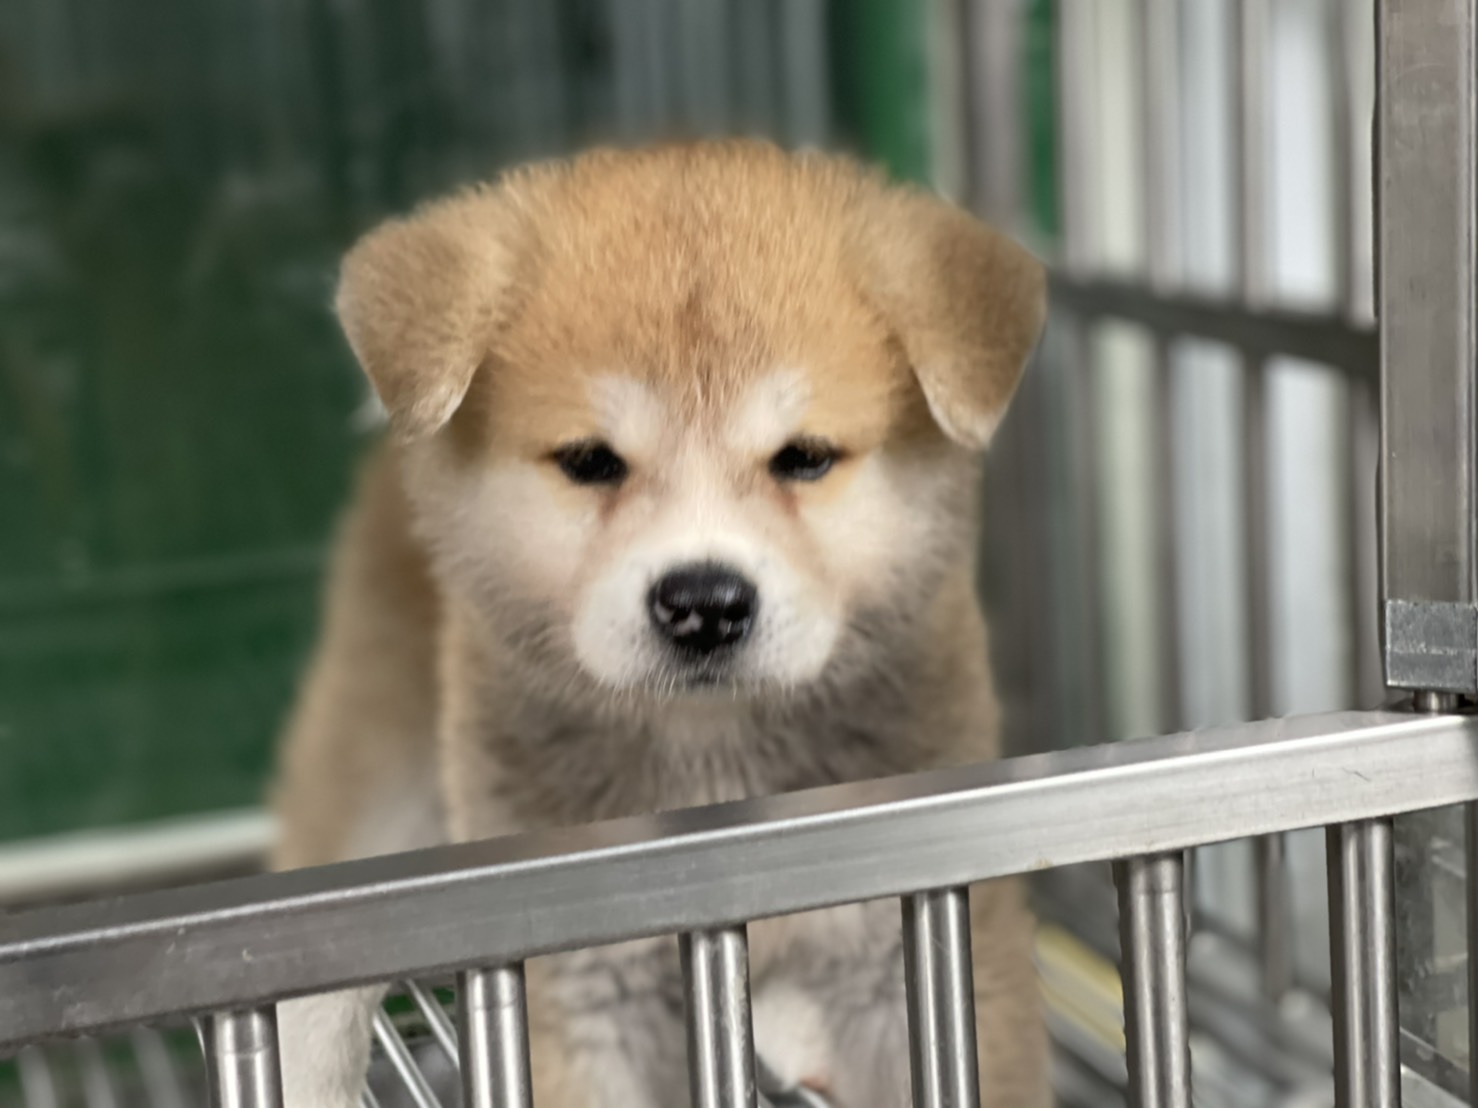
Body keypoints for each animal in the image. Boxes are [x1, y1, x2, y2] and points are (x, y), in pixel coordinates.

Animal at [269, 139, 1048, 1108]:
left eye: (806, 458)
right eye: (589, 462)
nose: (703, 602)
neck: (713, 767)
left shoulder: (918, 953)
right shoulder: (587, 991)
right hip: (373, 767)